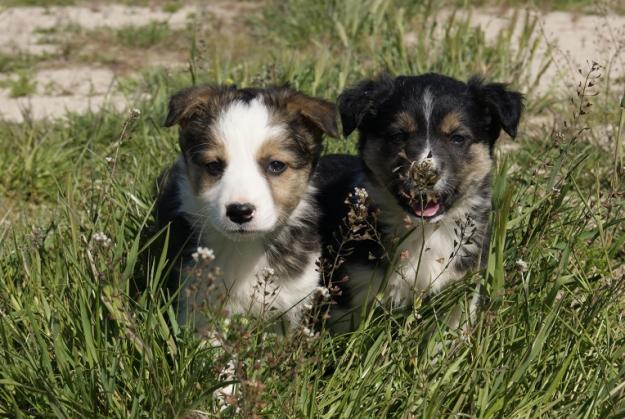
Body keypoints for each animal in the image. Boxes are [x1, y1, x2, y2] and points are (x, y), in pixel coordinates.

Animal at [156, 84, 338, 334]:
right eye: (213, 165)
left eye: (276, 165)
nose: (240, 212)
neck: (244, 248)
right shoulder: (195, 299)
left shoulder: (298, 299)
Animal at [316, 74, 520, 334]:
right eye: (398, 136)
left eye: (457, 138)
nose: (426, 175)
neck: (426, 232)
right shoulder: (348, 296)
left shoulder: (460, 289)